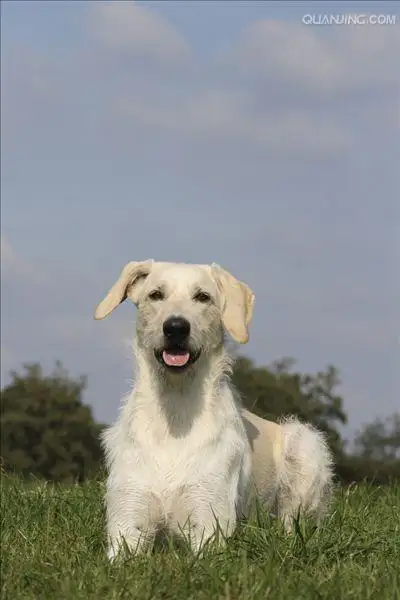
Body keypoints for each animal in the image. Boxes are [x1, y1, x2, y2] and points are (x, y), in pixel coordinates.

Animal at [95, 260, 332, 560]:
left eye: (203, 297)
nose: (175, 327)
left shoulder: (209, 524)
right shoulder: (127, 523)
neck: (176, 408)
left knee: (292, 522)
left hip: (304, 443)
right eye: (156, 294)